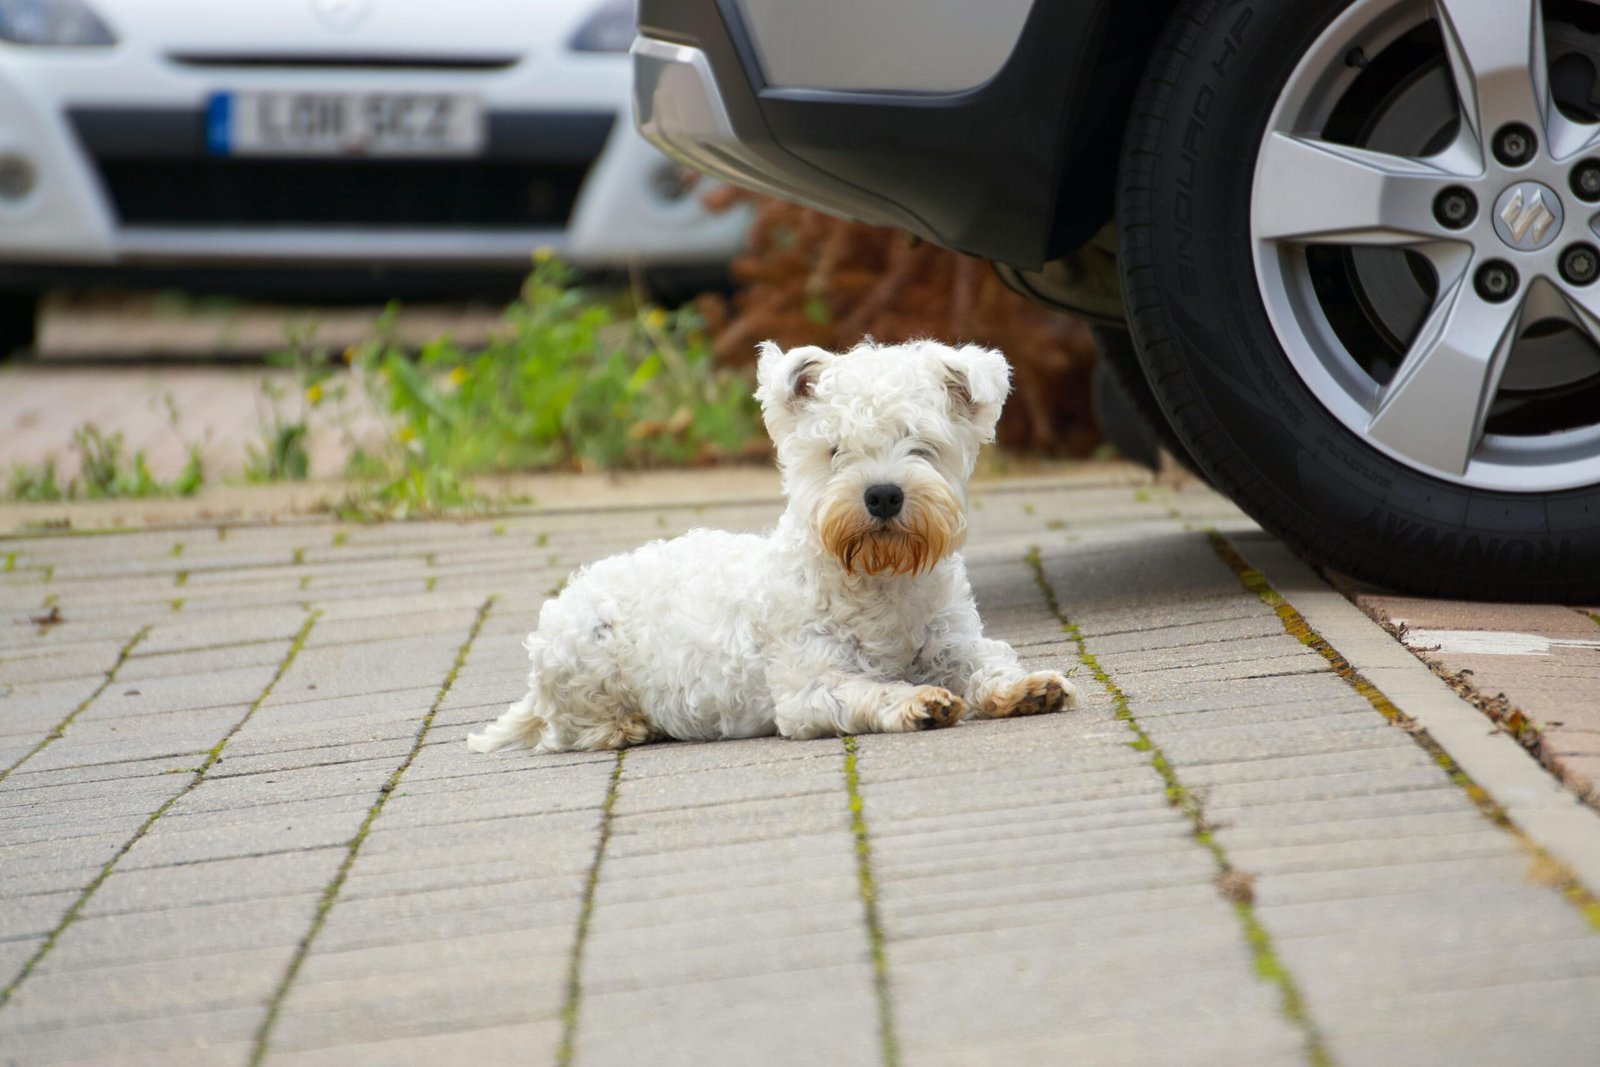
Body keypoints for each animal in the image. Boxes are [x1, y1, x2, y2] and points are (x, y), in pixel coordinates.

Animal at [467, 337, 1081, 755]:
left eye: (922, 445)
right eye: (834, 450)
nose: (883, 495)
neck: (879, 580)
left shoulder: (955, 645)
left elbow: (988, 666)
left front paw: (1028, 688)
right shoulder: (809, 687)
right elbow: (869, 691)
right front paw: (916, 700)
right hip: (582, 649)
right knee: (567, 728)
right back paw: (628, 726)